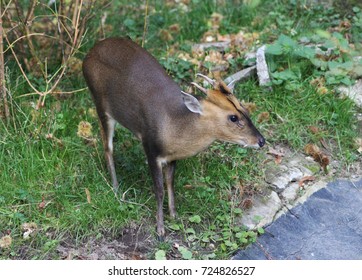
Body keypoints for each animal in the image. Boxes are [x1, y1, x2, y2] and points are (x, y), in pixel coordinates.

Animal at [82, 36, 266, 238]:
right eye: (233, 117)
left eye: (244, 109)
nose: (261, 141)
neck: (174, 126)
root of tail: (89, 53)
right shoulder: (150, 148)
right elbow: (159, 189)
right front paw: (160, 228)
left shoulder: (172, 157)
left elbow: (170, 183)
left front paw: (174, 215)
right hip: (101, 104)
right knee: (108, 147)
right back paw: (115, 189)